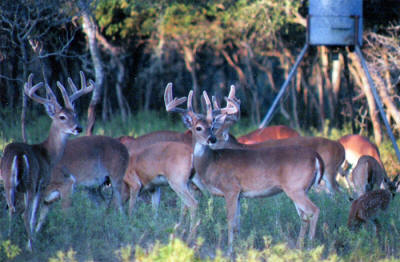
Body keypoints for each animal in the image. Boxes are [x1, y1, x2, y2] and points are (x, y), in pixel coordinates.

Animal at [0, 71, 93, 250]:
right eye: (62, 117)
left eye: (75, 114)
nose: (78, 128)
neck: (48, 154)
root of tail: (18, 155)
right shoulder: (42, 185)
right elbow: (35, 217)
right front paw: (31, 242)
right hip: (29, 183)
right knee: (25, 214)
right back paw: (31, 248)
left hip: (8, 182)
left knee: (11, 210)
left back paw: (9, 242)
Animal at [164, 83, 324, 254]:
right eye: (199, 128)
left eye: (212, 127)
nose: (211, 139)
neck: (211, 163)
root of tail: (316, 156)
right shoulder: (240, 194)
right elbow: (237, 224)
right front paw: (239, 247)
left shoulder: (231, 189)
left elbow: (230, 221)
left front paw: (229, 250)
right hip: (302, 188)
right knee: (304, 216)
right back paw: (300, 247)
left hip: (295, 187)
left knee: (314, 211)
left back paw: (311, 247)